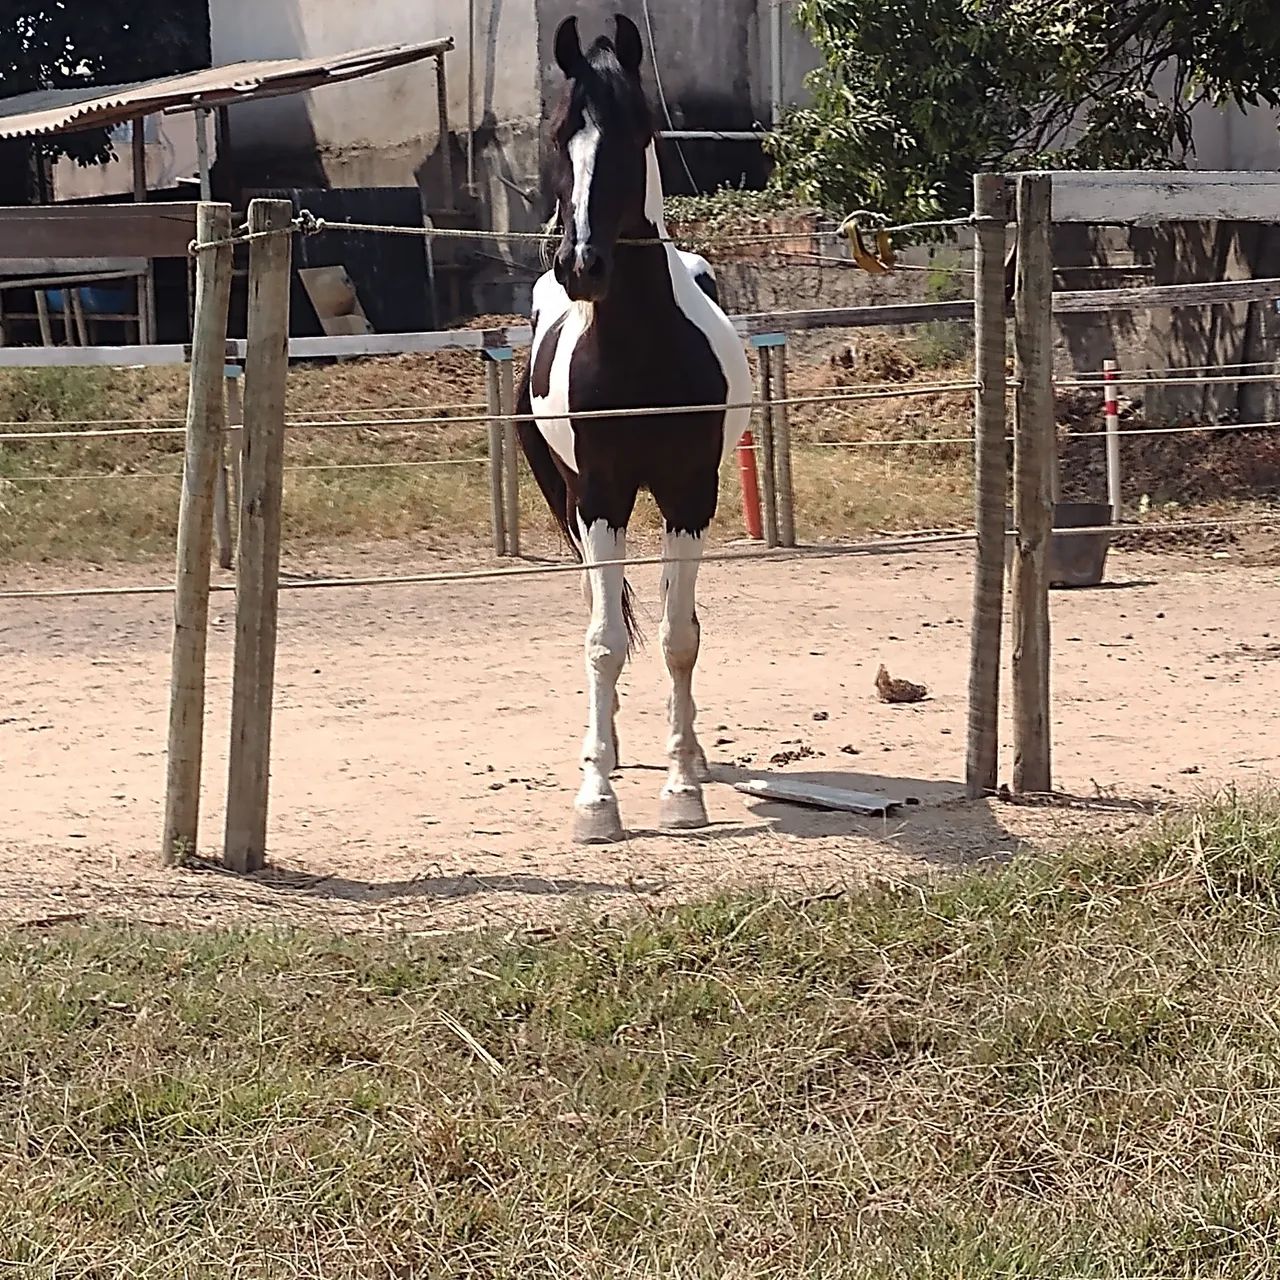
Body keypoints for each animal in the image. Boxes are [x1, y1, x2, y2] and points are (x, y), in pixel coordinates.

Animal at [516, 12, 752, 845]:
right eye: (562, 134)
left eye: (635, 132)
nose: (580, 265)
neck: (641, 351)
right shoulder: (601, 497)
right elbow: (603, 640)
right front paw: (596, 798)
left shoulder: (690, 494)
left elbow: (680, 636)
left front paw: (683, 788)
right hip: (573, 501)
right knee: (604, 618)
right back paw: (607, 749)